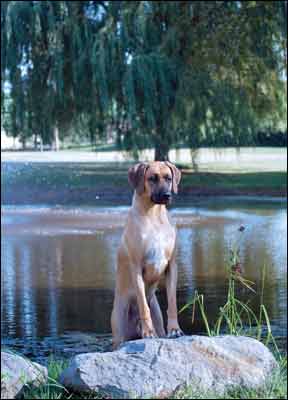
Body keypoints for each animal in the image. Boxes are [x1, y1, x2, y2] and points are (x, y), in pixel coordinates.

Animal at [111, 161, 183, 348]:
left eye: (168, 178)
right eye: (152, 178)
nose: (166, 195)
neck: (153, 216)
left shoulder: (172, 266)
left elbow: (172, 302)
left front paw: (175, 329)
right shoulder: (136, 268)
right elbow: (143, 305)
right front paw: (148, 333)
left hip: (157, 312)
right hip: (119, 324)